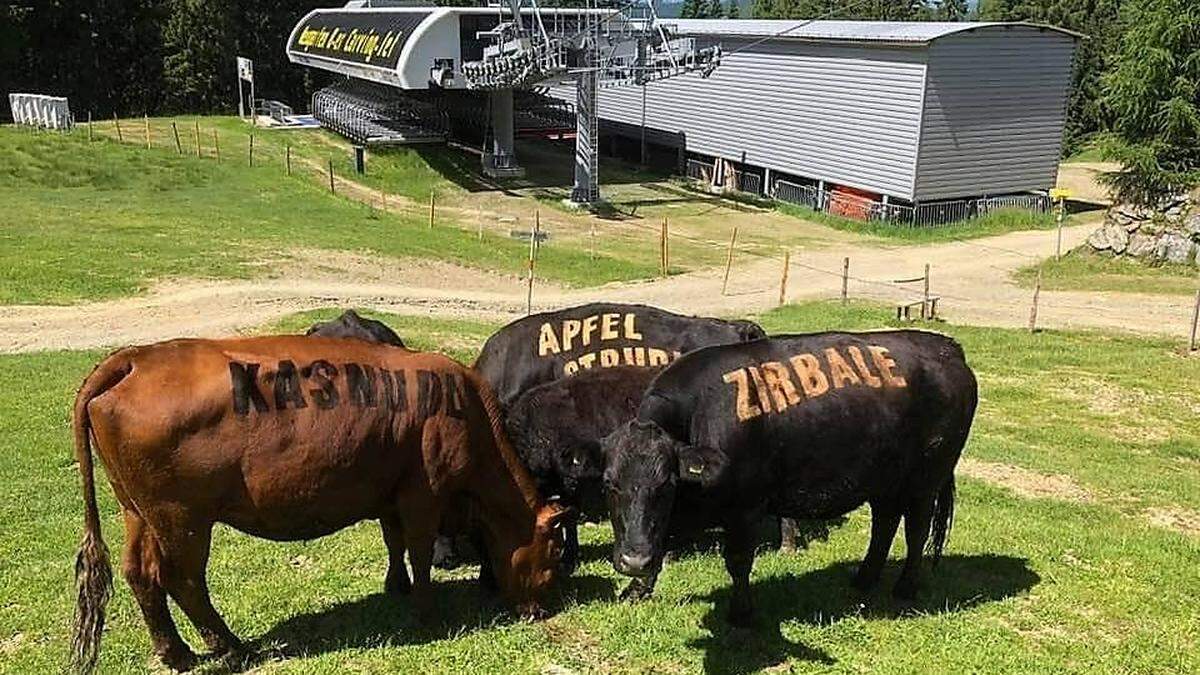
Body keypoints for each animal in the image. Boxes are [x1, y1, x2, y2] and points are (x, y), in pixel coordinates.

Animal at [70, 338, 571, 667]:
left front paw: (396, 586)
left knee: (141, 574)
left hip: (138, 510)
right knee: (183, 579)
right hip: (183, 517)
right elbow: (419, 551)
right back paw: (232, 647)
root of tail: (136, 358)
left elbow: (393, 543)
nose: (541, 610)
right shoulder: (423, 494)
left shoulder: (389, 494)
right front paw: (427, 612)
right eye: (554, 552)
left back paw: (176, 653)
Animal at [604, 329, 979, 624]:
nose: (633, 561)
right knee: (884, 524)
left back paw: (905, 587)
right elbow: (659, 541)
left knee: (916, 531)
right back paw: (864, 578)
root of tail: (945, 346)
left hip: (926, 478)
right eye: (610, 483)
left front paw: (741, 613)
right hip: (884, 479)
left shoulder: (746, 506)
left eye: (667, 484)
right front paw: (636, 589)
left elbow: (738, 561)